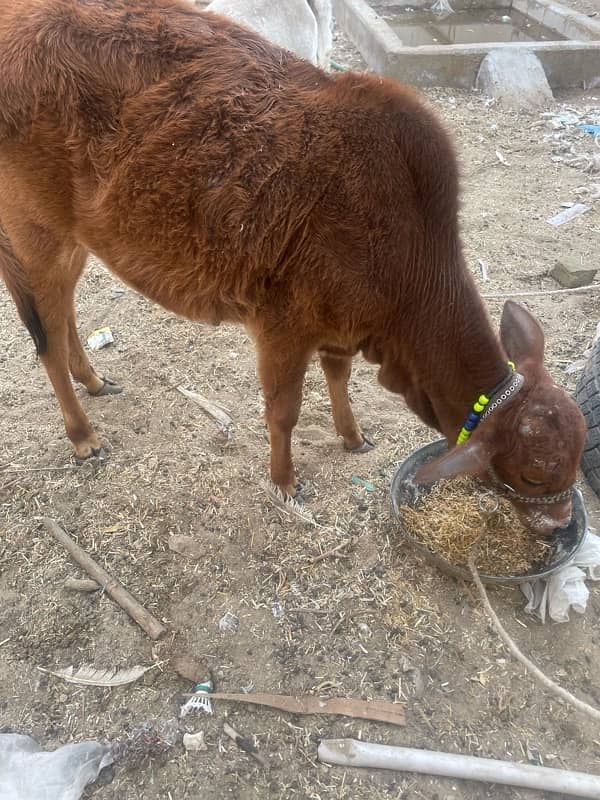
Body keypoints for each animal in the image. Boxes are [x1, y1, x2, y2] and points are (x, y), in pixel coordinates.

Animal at [0, 1, 584, 536]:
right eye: (533, 477)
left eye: (576, 459)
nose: (559, 522)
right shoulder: (283, 325)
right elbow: (284, 412)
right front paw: (285, 481)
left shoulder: (340, 326)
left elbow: (339, 376)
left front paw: (352, 436)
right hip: (36, 233)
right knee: (46, 336)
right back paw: (82, 434)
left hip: (76, 239)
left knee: (65, 315)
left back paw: (94, 380)